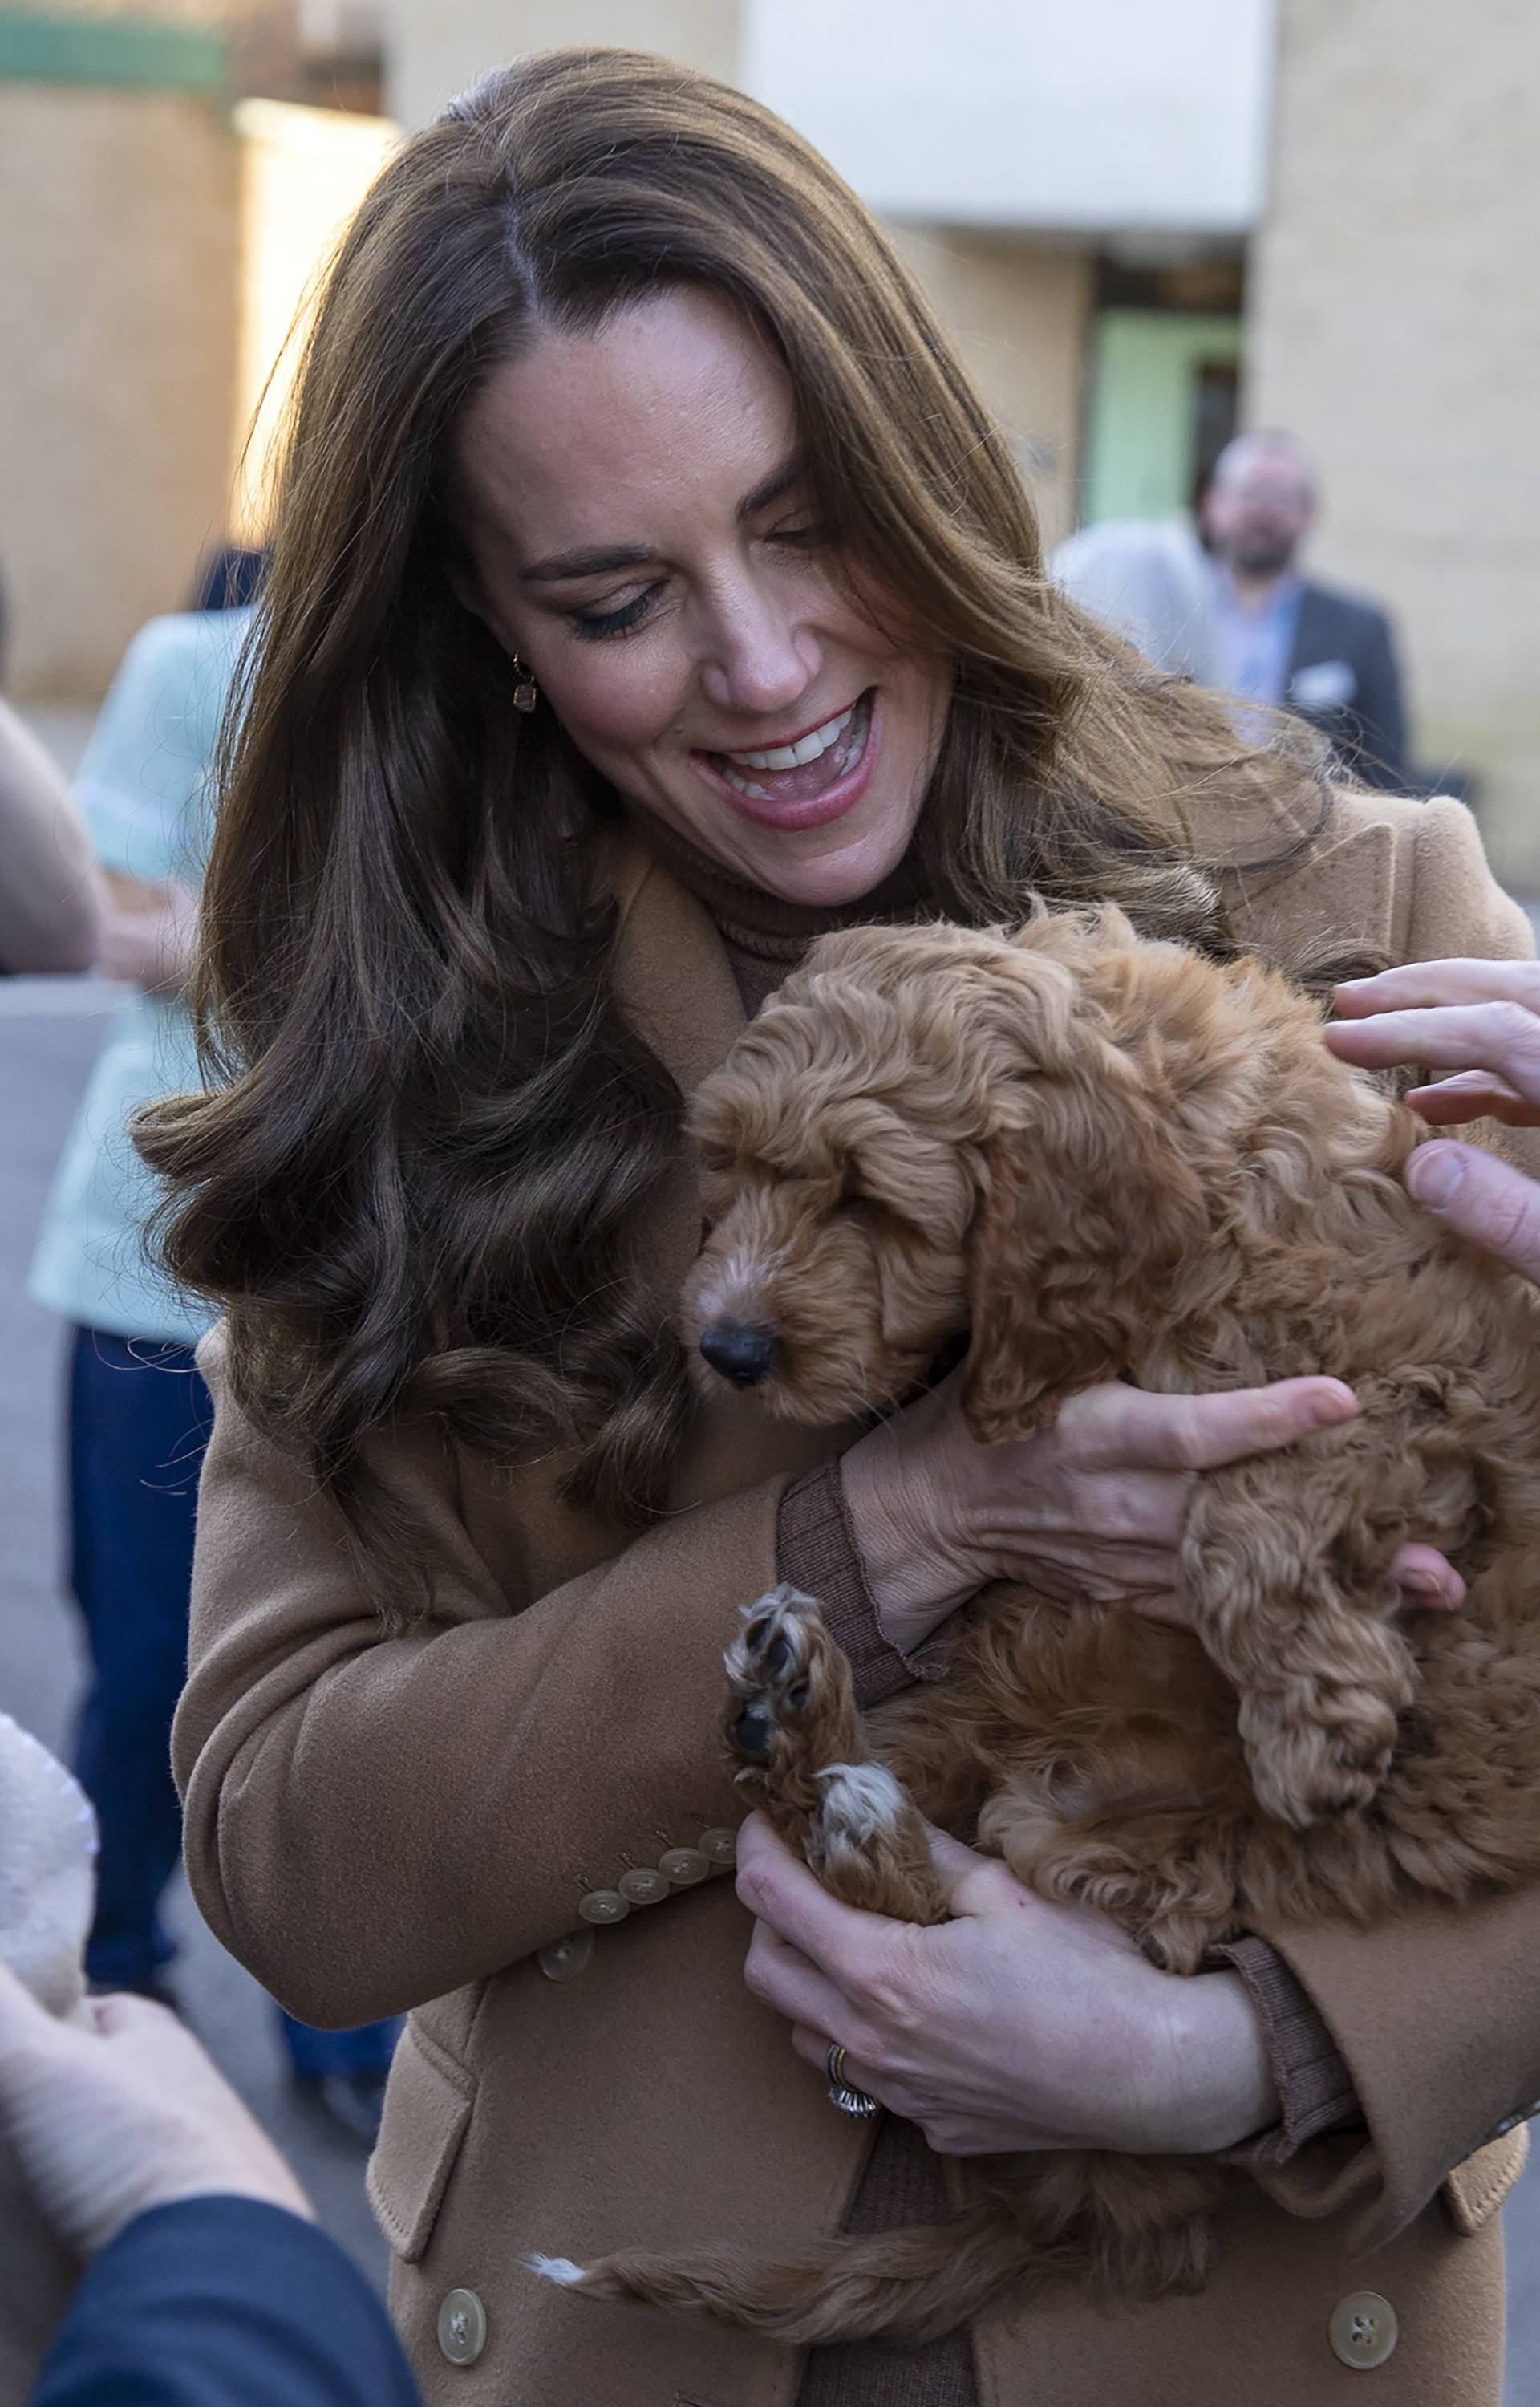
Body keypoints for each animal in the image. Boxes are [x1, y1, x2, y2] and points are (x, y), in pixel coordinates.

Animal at [534, 905, 1540, 2330]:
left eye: (867, 1198)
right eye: (727, 1167)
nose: (725, 1351)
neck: (1204, 1169)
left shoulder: (1435, 1401)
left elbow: (1251, 1491)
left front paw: (1313, 1718)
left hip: (1148, 1850)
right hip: (997, 1694)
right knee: (832, 1839)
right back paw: (799, 1728)